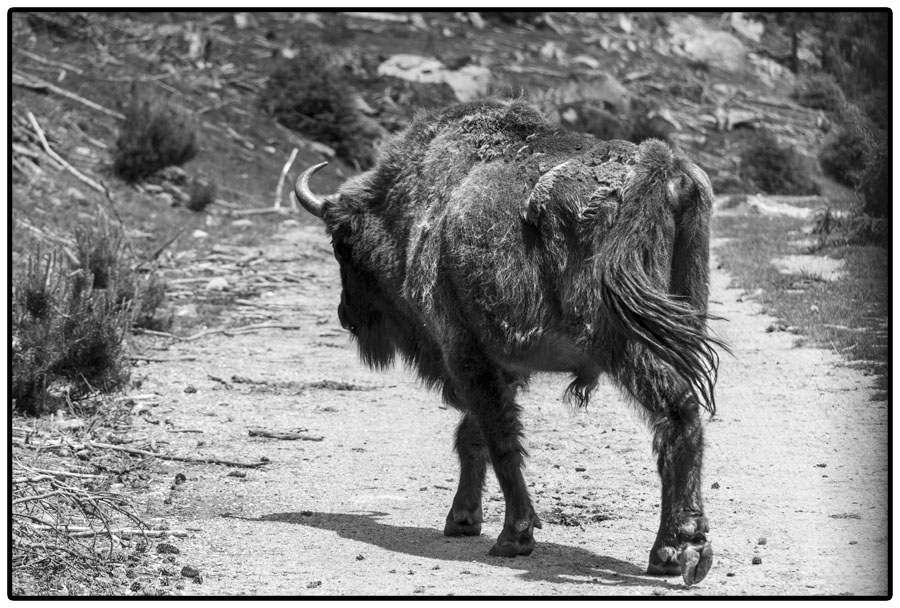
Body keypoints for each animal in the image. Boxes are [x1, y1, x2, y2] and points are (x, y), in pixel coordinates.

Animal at [294, 99, 726, 585]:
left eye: (340, 246)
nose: (345, 314)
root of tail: (661, 165)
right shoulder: (500, 364)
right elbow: (474, 436)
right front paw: (463, 520)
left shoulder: (464, 352)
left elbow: (499, 438)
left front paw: (512, 537)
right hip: (681, 317)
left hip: (626, 342)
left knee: (677, 413)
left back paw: (675, 550)